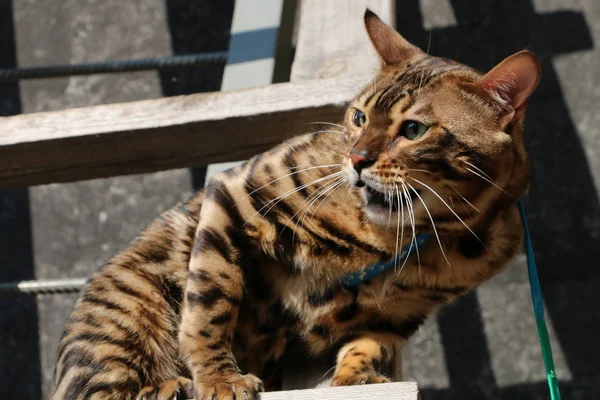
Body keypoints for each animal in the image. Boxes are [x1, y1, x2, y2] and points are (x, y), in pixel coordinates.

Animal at [50, 9, 540, 400]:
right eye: (359, 117)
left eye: (414, 130)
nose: (355, 158)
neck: (405, 239)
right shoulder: (238, 193)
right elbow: (212, 302)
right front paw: (219, 378)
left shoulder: (404, 313)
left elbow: (369, 345)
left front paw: (356, 377)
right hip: (126, 313)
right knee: (97, 392)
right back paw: (168, 387)